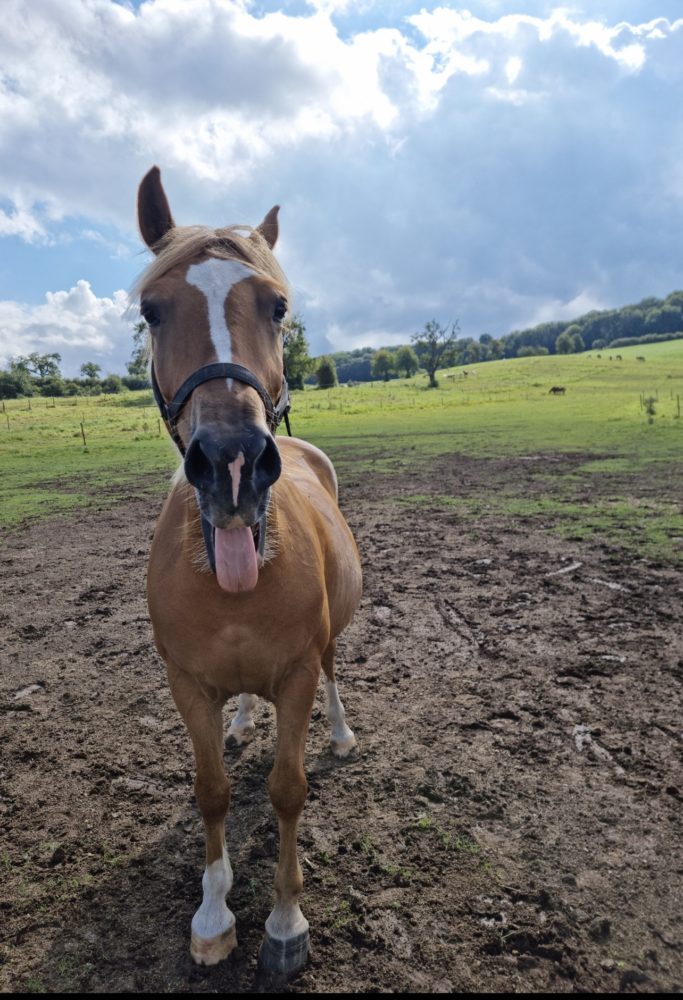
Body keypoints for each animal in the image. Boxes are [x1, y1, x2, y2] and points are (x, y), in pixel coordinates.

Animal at [134, 168, 364, 972]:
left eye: (278, 306)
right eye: (151, 310)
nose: (232, 463)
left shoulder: (294, 673)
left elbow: (287, 788)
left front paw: (285, 922)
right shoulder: (185, 681)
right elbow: (212, 790)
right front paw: (212, 913)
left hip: (328, 646)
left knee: (332, 673)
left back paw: (341, 732)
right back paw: (239, 722)